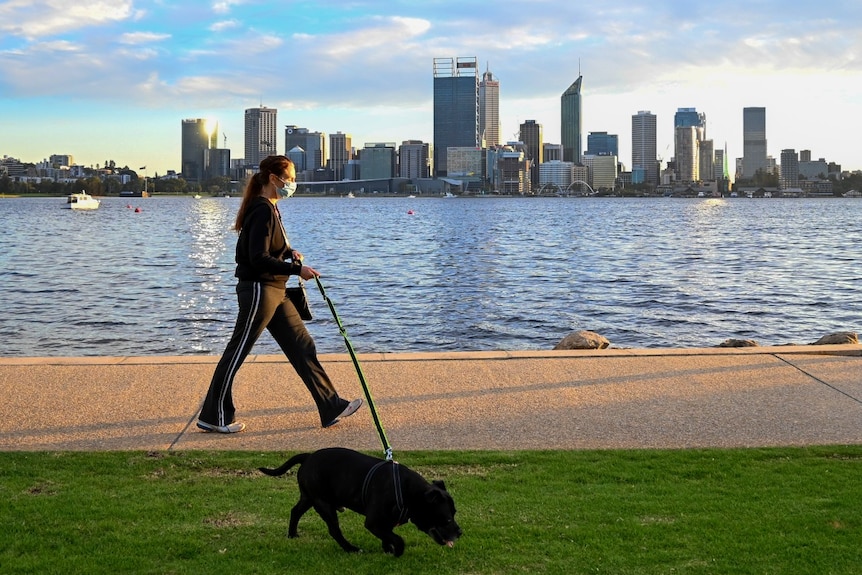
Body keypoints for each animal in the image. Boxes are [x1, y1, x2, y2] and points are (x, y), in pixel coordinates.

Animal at [260, 448, 462, 556]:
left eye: (455, 514)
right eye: (447, 519)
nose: (460, 532)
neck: (408, 492)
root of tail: (308, 456)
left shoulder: (385, 522)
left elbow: (388, 535)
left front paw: (388, 549)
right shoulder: (373, 522)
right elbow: (397, 538)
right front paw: (397, 551)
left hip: (309, 497)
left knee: (295, 511)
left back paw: (292, 534)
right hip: (322, 503)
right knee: (334, 530)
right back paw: (351, 549)